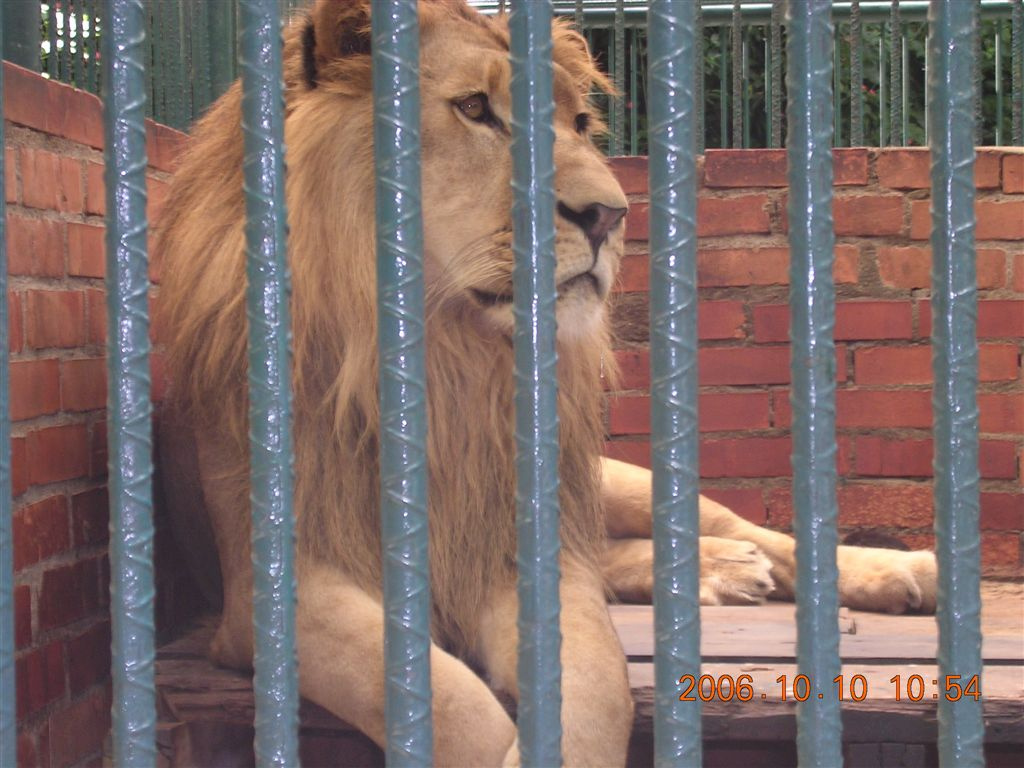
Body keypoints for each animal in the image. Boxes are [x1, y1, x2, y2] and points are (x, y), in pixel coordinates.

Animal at [157, 3, 937, 765]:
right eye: (476, 108)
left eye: (581, 125)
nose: (610, 215)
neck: (446, 361)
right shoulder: (272, 594)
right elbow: (442, 700)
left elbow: (593, 689)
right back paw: (725, 573)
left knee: (741, 529)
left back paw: (892, 572)